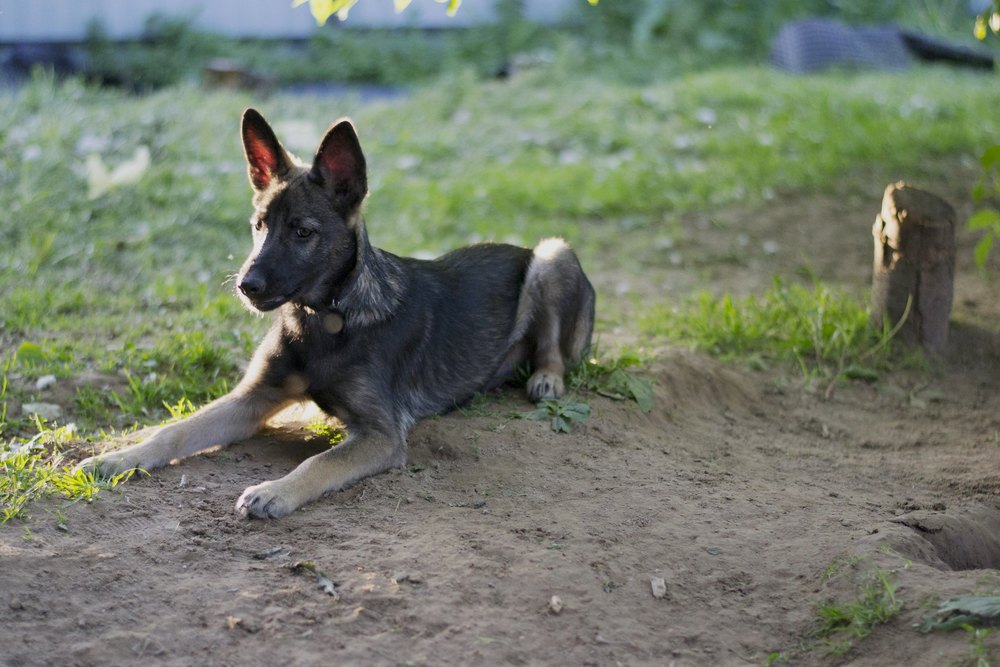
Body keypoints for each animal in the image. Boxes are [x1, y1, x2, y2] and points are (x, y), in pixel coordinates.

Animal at [80, 108, 592, 520]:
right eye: (258, 226)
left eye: (302, 232)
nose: (246, 286)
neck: (324, 317)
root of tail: (518, 246)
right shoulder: (252, 398)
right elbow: (176, 431)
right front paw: (118, 458)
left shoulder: (381, 434)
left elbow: (319, 461)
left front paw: (274, 491)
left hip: (551, 255)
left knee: (553, 348)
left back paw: (547, 379)